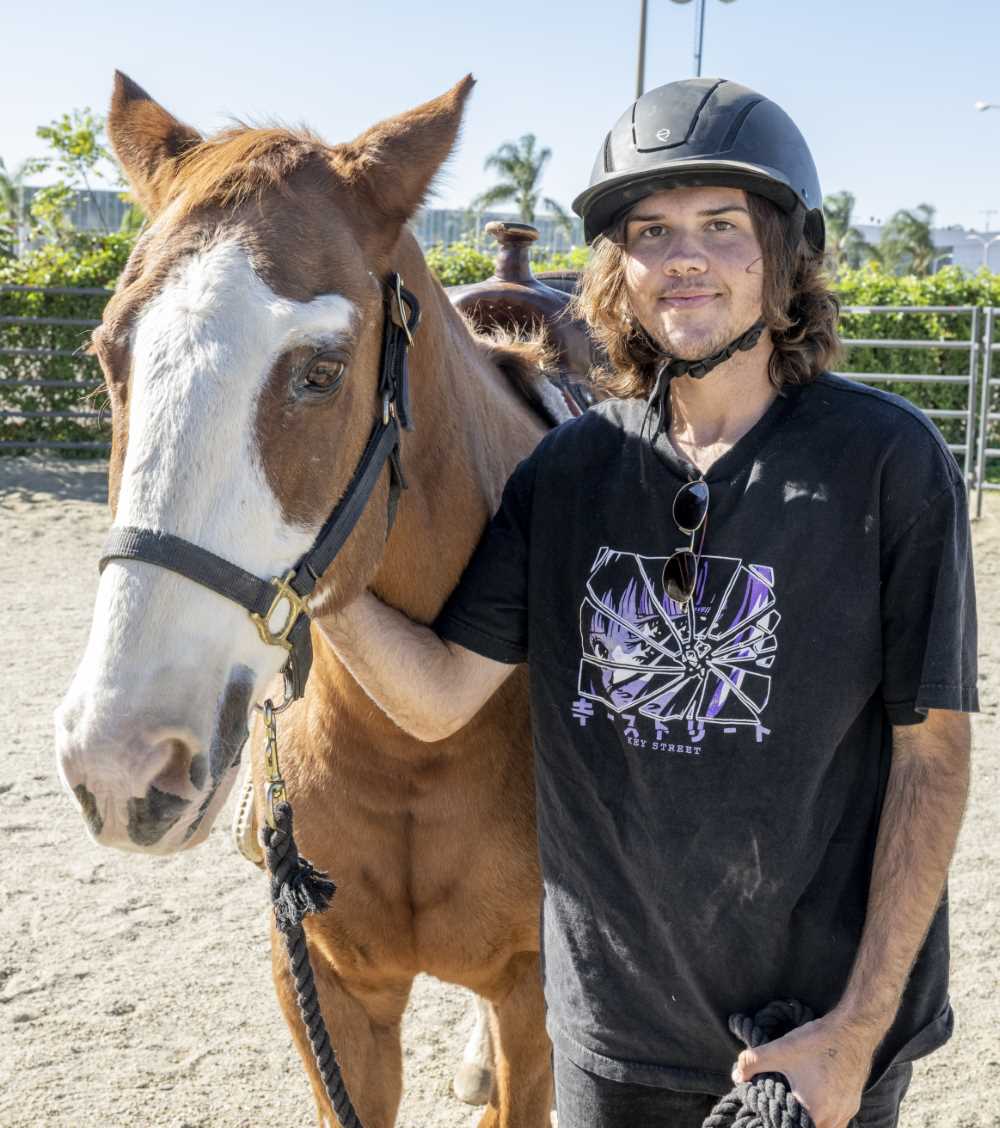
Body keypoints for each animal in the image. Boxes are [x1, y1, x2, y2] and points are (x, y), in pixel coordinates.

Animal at [54, 75, 554, 1123]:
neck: (421, 749)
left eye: (321, 372)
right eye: (108, 356)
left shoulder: (539, 997)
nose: (119, 761)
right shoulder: (324, 984)